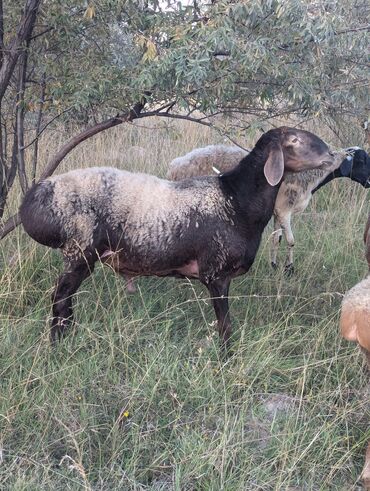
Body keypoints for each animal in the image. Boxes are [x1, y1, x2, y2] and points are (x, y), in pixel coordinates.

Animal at [21, 128, 338, 350]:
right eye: (295, 139)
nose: (333, 155)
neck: (237, 199)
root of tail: (38, 196)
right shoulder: (216, 274)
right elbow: (225, 326)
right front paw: (227, 357)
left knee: (66, 300)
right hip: (79, 251)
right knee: (60, 299)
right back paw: (57, 343)